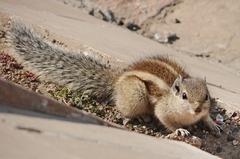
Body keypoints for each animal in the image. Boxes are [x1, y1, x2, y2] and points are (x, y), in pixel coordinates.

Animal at [4, 19, 221, 136]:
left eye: (207, 97)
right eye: (184, 96)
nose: (197, 108)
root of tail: (118, 78)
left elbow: (207, 117)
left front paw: (213, 123)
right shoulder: (163, 110)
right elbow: (165, 120)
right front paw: (180, 130)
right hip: (135, 93)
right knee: (125, 109)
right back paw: (134, 116)